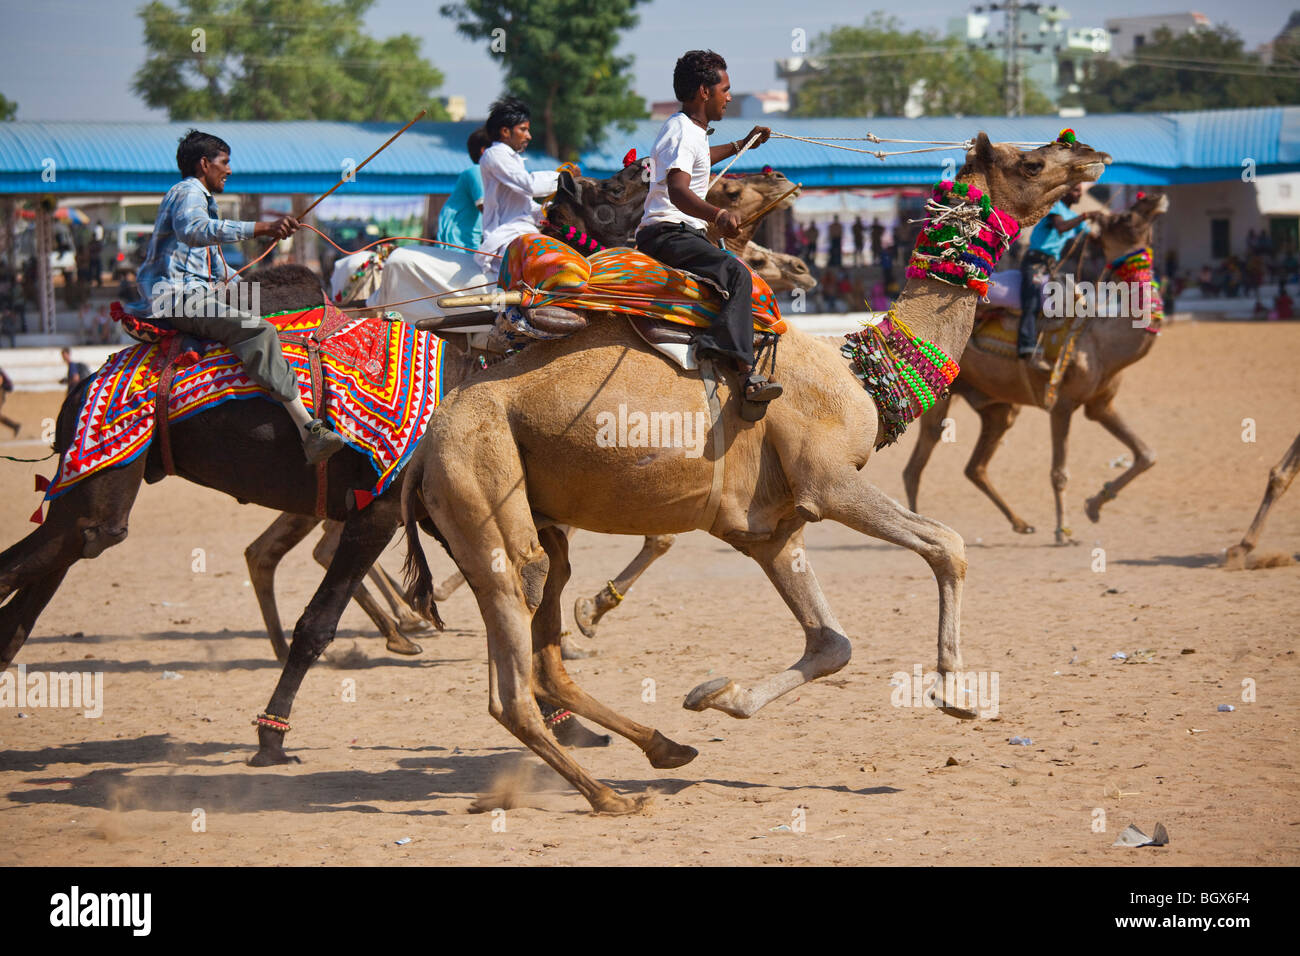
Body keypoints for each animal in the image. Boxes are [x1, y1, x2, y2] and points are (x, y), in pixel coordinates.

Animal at [392, 130, 1107, 811]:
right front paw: (958, 693)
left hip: (529, 515)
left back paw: (665, 747)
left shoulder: (770, 528)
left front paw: (715, 695)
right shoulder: (829, 481)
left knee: (546, 648)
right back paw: (610, 797)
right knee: (513, 671)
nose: (1088, 155)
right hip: (482, 484)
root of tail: (425, 451)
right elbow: (947, 545)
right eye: (1031, 163)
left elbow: (831, 644)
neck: (861, 372)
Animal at [904, 191, 1170, 546]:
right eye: (1125, 217)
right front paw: (1063, 531)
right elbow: (1059, 473)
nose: (1155, 196)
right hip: (938, 394)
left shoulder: (1100, 404)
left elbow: (1146, 454)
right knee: (917, 462)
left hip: (998, 407)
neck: (1100, 340)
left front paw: (1094, 506)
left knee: (975, 466)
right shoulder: (1062, 404)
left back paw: (1021, 523)